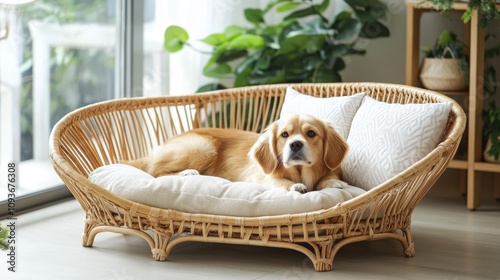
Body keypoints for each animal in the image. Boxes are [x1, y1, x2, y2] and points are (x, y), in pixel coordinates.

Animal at [126, 114, 348, 192]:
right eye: (284, 135)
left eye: (311, 133)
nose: (295, 145)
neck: (301, 171)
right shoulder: (260, 177)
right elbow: (277, 181)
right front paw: (294, 186)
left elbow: (330, 176)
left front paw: (331, 182)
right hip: (203, 146)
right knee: (155, 171)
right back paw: (187, 172)